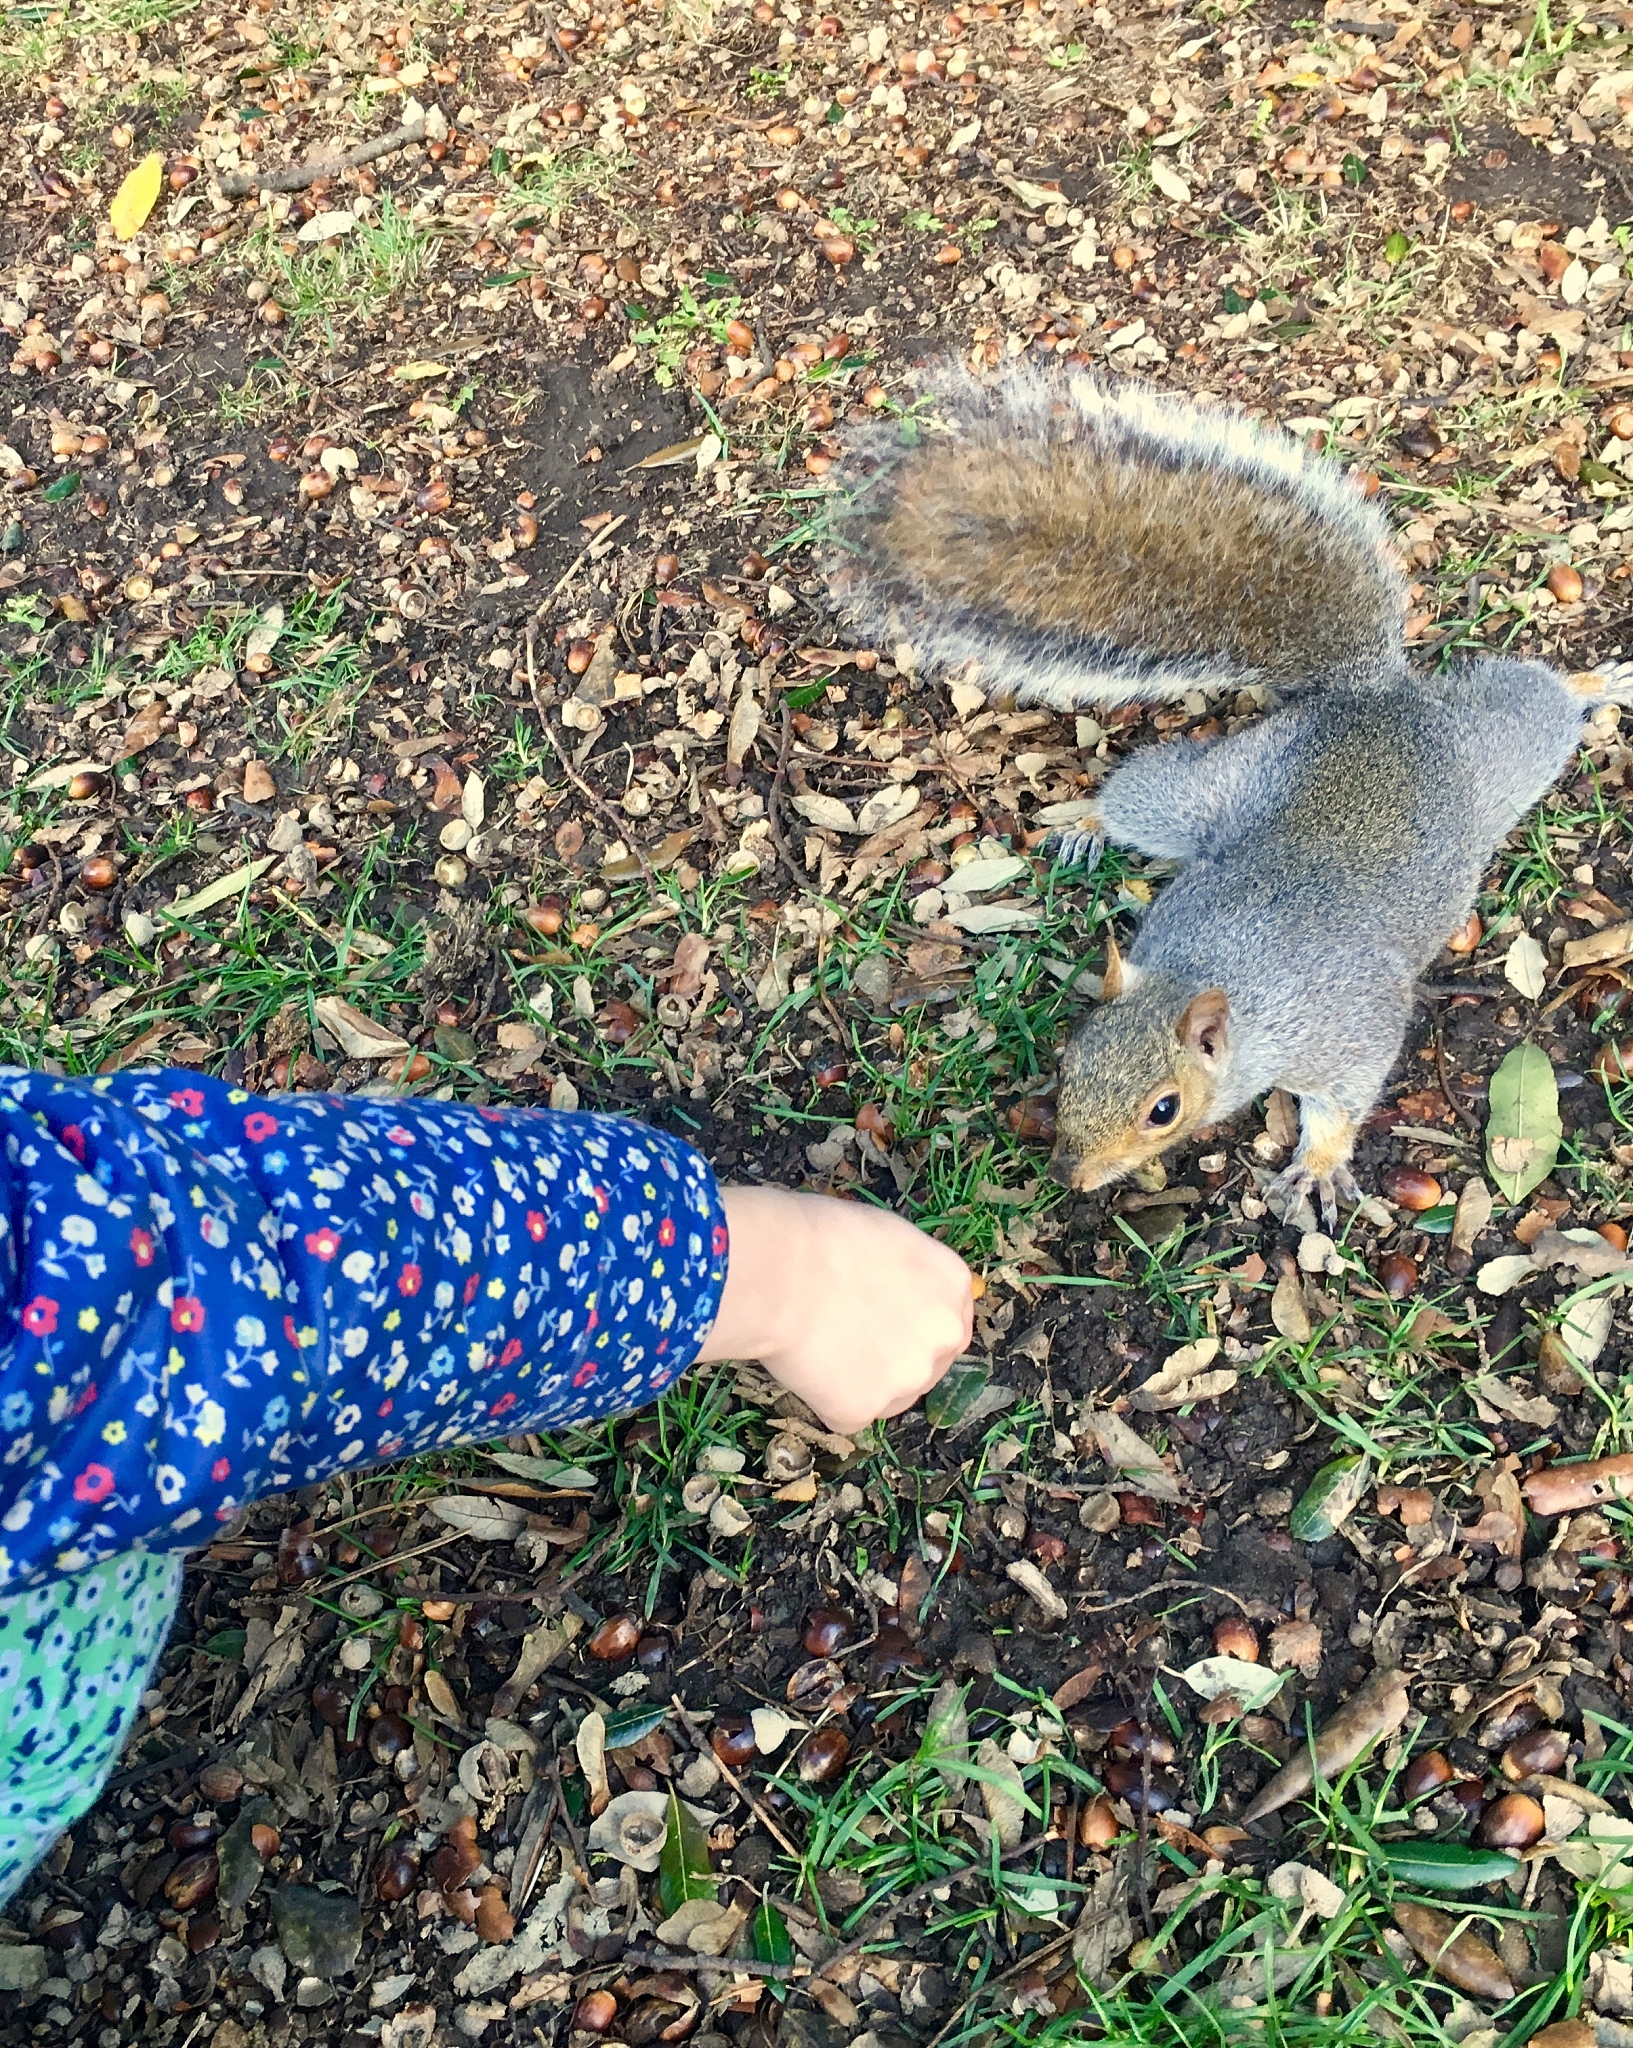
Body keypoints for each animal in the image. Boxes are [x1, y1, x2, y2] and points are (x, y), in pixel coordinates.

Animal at [825, 363, 1628, 1226]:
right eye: (1070, 1060)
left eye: (1163, 1110)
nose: (1071, 1175)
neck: (1215, 975)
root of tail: (1371, 697)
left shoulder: (1350, 1026)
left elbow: (1343, 1098)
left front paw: (1316, 1165)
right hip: (1212, 787)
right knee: (1142, 795)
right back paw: (1087, 820)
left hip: (1496, 757)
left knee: (1535, 704)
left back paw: (1593, 686)